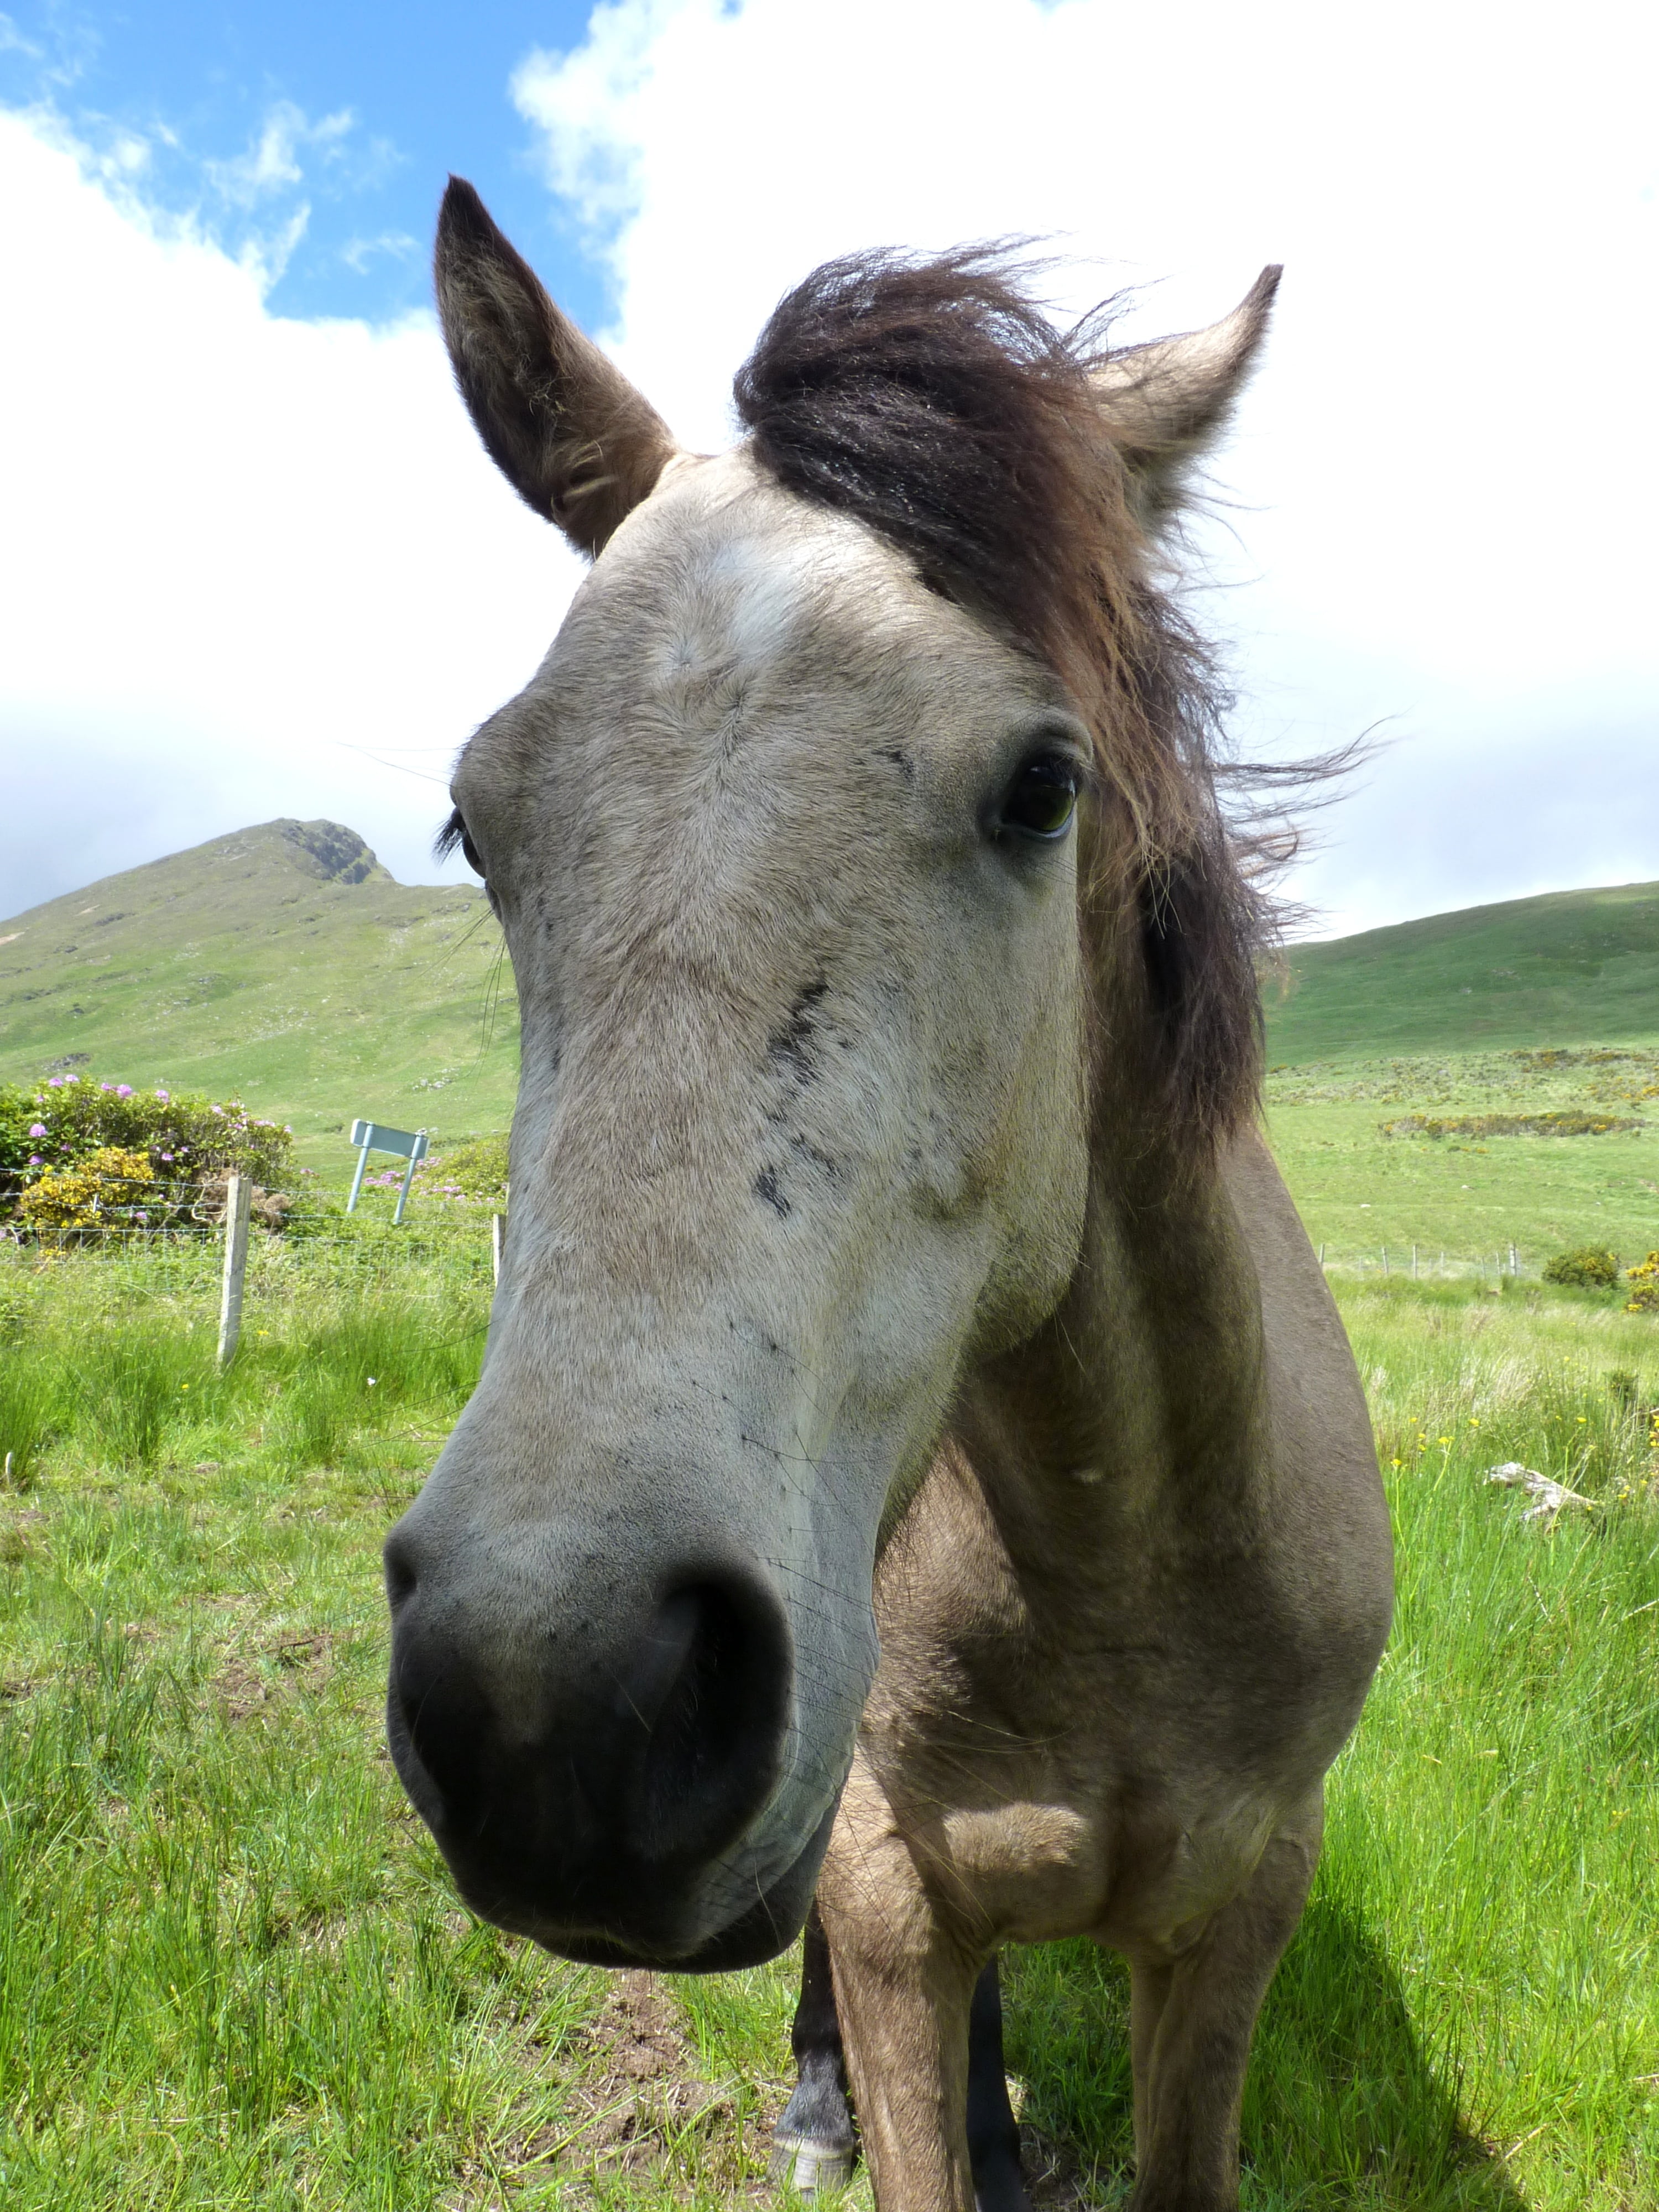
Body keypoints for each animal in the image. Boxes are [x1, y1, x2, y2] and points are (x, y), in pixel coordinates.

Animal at [384, 176, 1393, 2212]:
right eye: (477, 822)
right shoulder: (880, 1890)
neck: (1131, 1564)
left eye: (1043, 787)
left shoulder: (1249, 1903)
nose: (551, 1703)